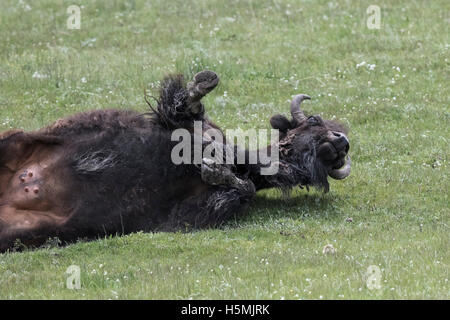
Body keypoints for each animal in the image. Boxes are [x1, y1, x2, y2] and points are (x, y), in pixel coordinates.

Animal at [0, 70, 352, 252]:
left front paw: (214, 170)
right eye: (315, 120)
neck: (241, 159)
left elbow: (244, 188)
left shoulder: (200, 211)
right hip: (13, 140)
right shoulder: (182, 124)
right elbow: (186, 104)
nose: (342, 142)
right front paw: (204, 82)